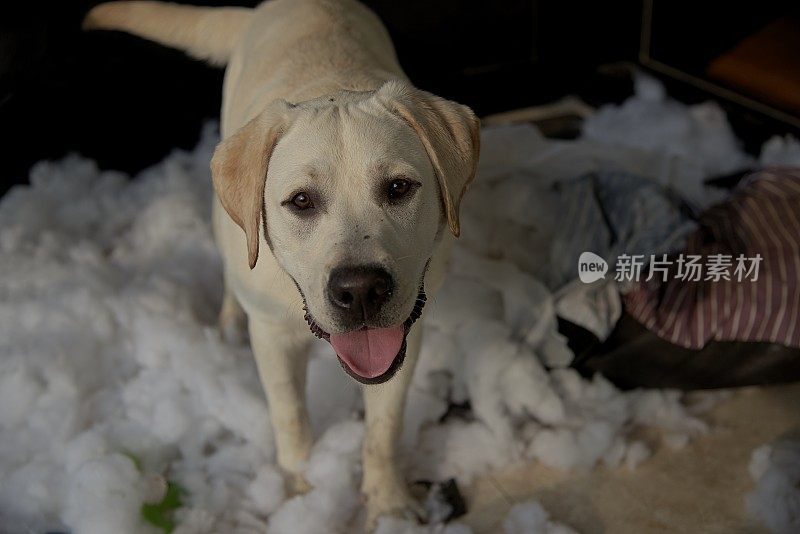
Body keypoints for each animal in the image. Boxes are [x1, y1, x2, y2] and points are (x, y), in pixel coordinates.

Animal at [85, 0, 478, 528]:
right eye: (301, 201)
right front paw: (300, 491)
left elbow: (384, 428)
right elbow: (290, 416)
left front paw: (389, 503)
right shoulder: (272, 333)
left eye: (398, 188)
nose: (361, 290)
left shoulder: (407, 333)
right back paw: (230, 319)